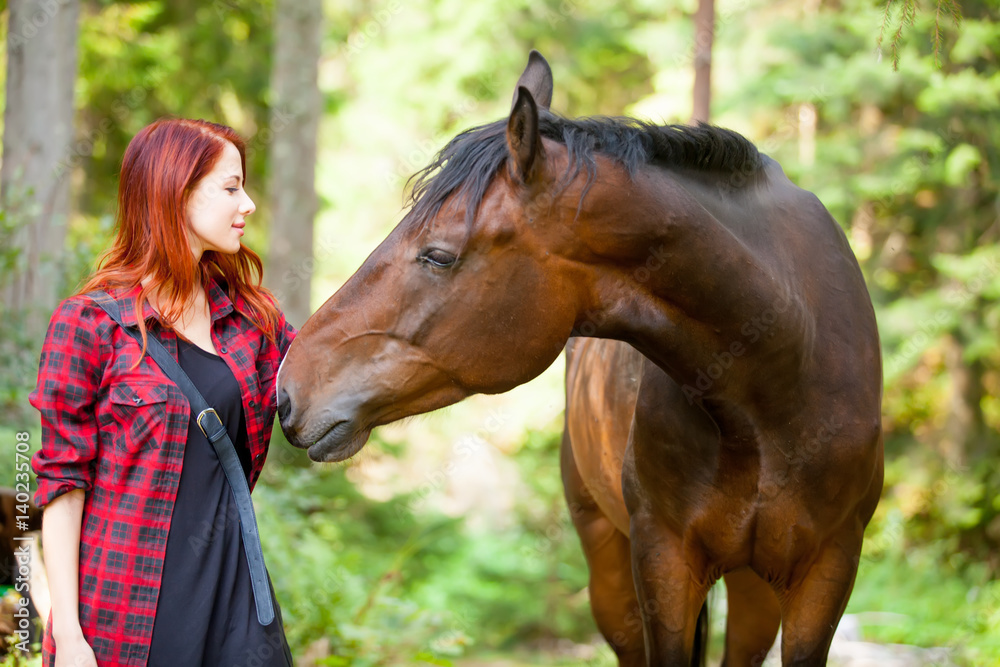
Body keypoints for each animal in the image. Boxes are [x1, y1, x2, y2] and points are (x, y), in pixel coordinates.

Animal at [277, 51, 884, 666]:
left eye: (438, 256)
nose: (287, 388)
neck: (781, 371)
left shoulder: (828, 571)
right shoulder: (663, 561)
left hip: (753, 588)